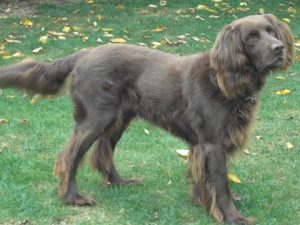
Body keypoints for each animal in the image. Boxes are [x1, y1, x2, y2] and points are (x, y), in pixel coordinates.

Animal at [0, 14, 292, 224]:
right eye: (251, 37)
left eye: (271, 31)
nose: (279, 48)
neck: (221, 79)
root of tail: (84, 54)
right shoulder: (213, 143)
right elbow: (220, 184)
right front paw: (231, 216)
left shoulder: (202, 145)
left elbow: (203, 177)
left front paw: (201, 202)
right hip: (94, 118)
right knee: (70, 156)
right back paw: (73, 197)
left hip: (118, 118)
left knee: (103, 152)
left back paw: (118, 183)